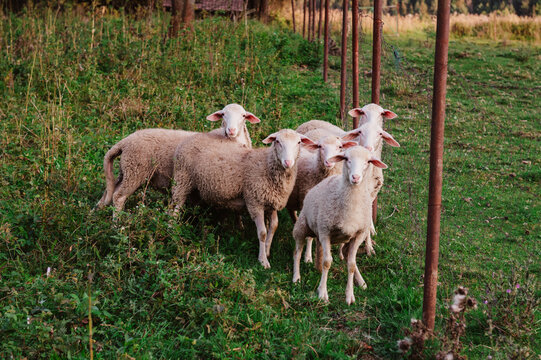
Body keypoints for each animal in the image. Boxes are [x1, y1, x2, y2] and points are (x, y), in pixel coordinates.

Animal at [95, 102, 260, 215]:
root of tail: (125, 141)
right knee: (118, 197)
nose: (231, 130)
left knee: (109, 192)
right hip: (135, 170)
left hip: (126, 170)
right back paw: (117, 226)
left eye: (243, 116)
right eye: (223, 114)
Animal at [172, 129, 316, 268]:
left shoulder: (272, 202)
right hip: (182, 178)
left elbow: (274, 226)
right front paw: (263, 260)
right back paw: (171, 228)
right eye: (278, 142)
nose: (288, 162)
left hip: (195, 188)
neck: (266, 166)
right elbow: (262, 233)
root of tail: (193, 136)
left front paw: (267, 250)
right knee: (175, 208)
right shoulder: (255, 202)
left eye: (298, 142)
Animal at [292, 146, 388, 304]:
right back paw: (296, 278)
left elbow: (351, 265)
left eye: (368, 161)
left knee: (345, 257)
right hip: (302, 227)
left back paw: (360, 281)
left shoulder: (359, 235)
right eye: (346, 159)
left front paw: (350, 296)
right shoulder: (325, 231)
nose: (355, 177)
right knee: (297, 252)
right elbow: (327, 262)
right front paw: (322, 293)